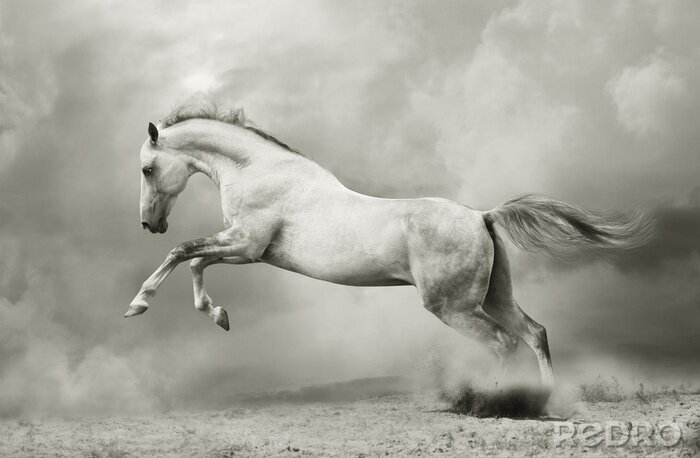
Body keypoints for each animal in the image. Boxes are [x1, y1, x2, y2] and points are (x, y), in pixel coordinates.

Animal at [126, 103, 652, 386]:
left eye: (148, 169)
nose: (149, 224)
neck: (260, 170)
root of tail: (481, 216)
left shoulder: (247, 245)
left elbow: (183, 254)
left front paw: (138, 305)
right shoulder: (243, 249)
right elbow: (194, 263)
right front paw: (219, 316)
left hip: (454, 306)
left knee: (503, 343)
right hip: (494, 296)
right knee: (535, 333)